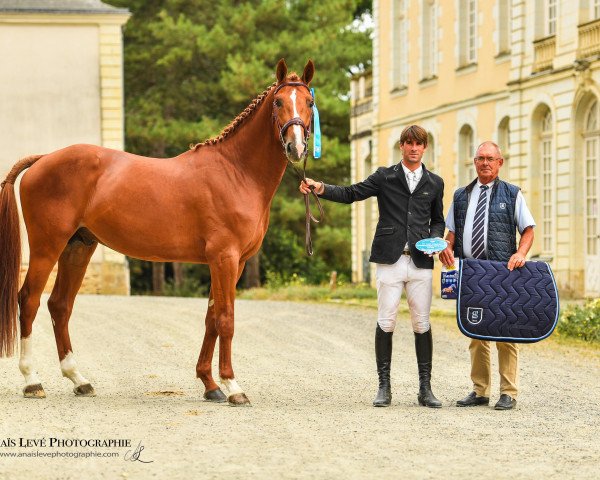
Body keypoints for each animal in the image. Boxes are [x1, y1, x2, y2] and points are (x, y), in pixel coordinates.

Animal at [0, 59, 316, 404]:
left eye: (309, 102)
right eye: (278, 102)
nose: (296, 146)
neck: (236, 172)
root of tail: (43, 159)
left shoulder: (233, 262)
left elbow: (211, 319)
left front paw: (210, 384)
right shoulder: (225, 258)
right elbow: (226, 319)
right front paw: (233, 386)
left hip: (78, 246)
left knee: (60, 305)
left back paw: (79, 380)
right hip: (48, 246)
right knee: (28, 300)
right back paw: (32, 381)